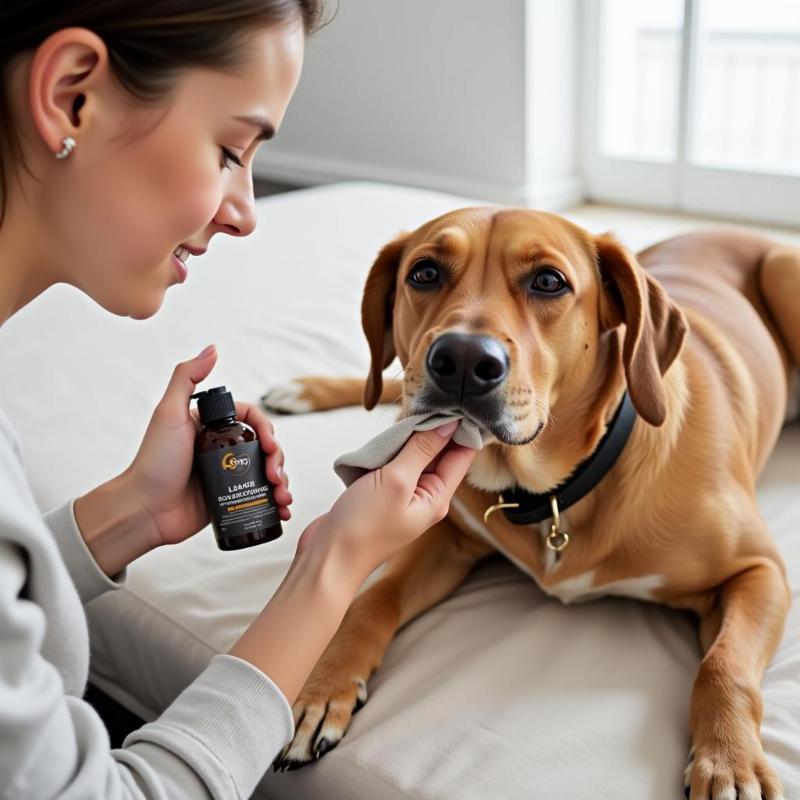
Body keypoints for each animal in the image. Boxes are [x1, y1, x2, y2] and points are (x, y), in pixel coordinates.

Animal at [270, 209, 800, 796]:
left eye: (549, 281)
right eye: (425, 273)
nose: (461, 358)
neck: (551, 491)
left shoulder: (760, 570)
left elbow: (723, 665)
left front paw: (730, 760)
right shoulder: (447, 538)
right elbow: (370, 599)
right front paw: (322, 686)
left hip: (783, 270)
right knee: (384, 385)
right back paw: (307, 390)